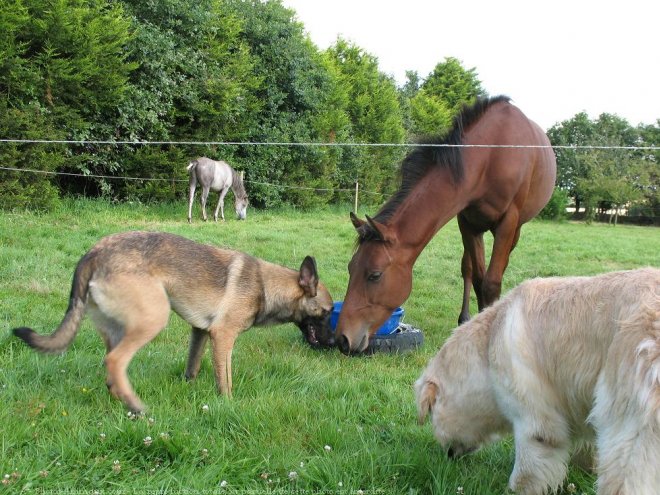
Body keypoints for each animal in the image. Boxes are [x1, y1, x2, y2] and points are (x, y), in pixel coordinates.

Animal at [12, 231, 336, 412]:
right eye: (326, 312)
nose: (336, 341)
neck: (266, 286)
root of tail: (93, 253)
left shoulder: (201, 333)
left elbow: (193, 368)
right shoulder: (223, 336)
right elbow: (226, 379)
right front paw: (228, 406)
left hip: (116, 329)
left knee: (111, 373)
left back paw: (123, 402)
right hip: (153, 318)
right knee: (115, 362)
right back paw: (136, 406)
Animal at [336, 95, 556, 354]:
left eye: (374, 275)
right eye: (351, 268)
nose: (342, 338)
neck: (491, 155)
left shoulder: (508, 222)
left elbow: (492, 282)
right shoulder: (468, 223)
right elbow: (478, 278)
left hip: (515, 230)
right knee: (468, 268)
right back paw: (464, 318)